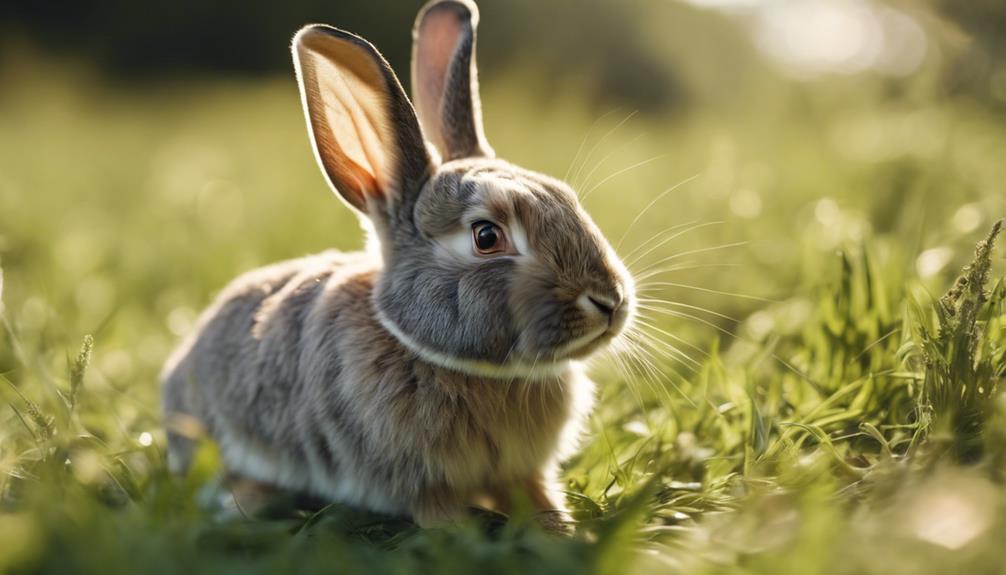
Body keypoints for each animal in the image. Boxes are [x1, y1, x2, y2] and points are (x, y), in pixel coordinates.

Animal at [160, 0, 635, 528]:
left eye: (567, 200)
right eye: (486, 237)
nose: (610, 301)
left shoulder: (523, 471)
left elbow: (538, 497)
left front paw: (563, 532)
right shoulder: (422, 482)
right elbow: (440, 517)